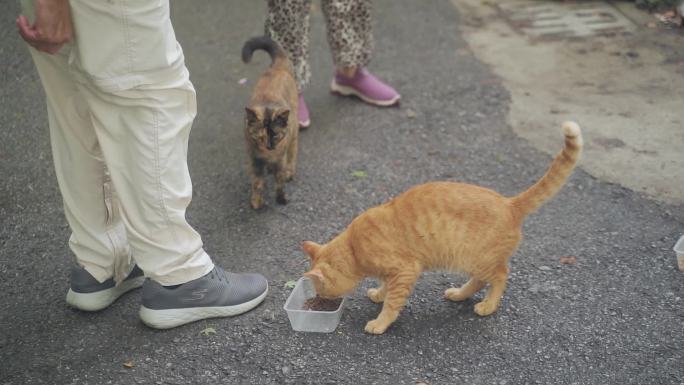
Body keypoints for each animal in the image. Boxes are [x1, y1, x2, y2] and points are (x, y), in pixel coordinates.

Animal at [242, 36, 298, 208]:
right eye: (260, 137)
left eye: (275, 136)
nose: (269, 147)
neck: (268, 156)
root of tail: (277, 68)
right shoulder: (255, 161)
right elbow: (257, 182)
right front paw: (256, 202)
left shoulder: (280, 160)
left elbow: (279, 181)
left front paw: (281, 198)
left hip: (294, 134)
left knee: (292, 154)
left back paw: (289, 172)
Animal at [300, 121, 584, 332]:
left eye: (321, 290)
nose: (322, 301)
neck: (354, 247)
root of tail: (508, 203)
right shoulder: (394, 273)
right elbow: (386, 289)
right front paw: (378, 294)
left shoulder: (406, 270)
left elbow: (393, 303)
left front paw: (380, 322)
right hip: (471, 261)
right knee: (480, 280)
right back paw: (459, 294)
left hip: (477, 259)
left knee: (501, 275)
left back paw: (488, 305)